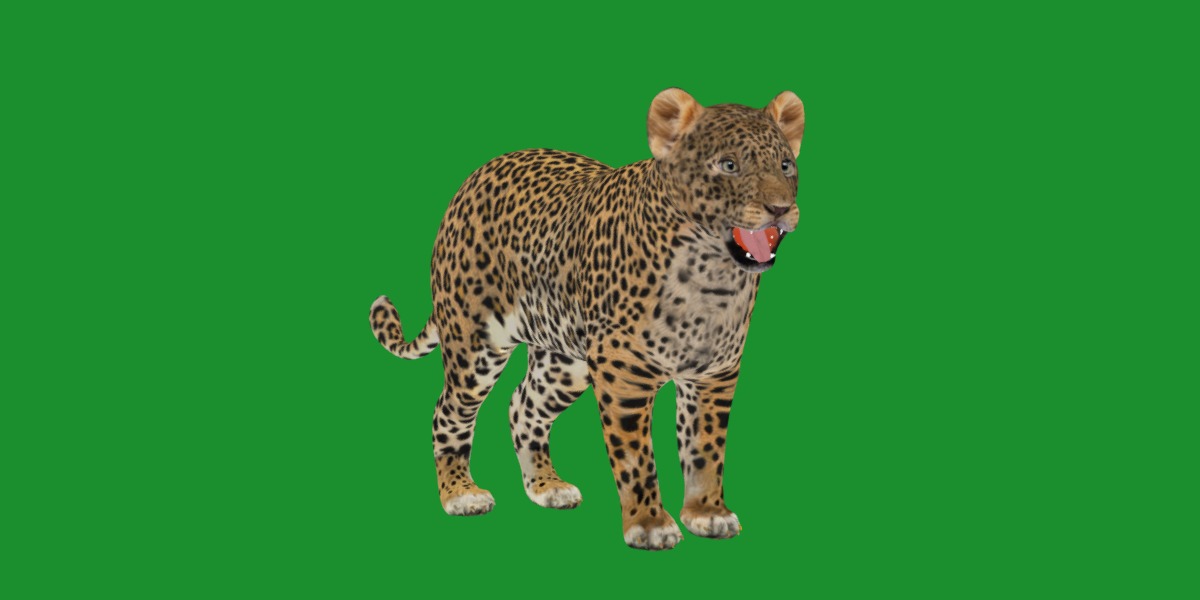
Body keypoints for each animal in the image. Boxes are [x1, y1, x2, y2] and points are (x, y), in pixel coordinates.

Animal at [369, 88, 805, 550]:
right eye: (728, 165)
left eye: (785, 165)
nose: (780, 208)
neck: (711, 278)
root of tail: (473, 178)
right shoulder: (624, 374)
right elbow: (636, 458)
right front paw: (650, 524)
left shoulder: (714, 375)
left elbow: (705, 449)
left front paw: (707, 514)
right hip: (474, 346)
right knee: (448, 412)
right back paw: (461, 494)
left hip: (565, 362)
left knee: (522, 406)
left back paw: (547, 487)